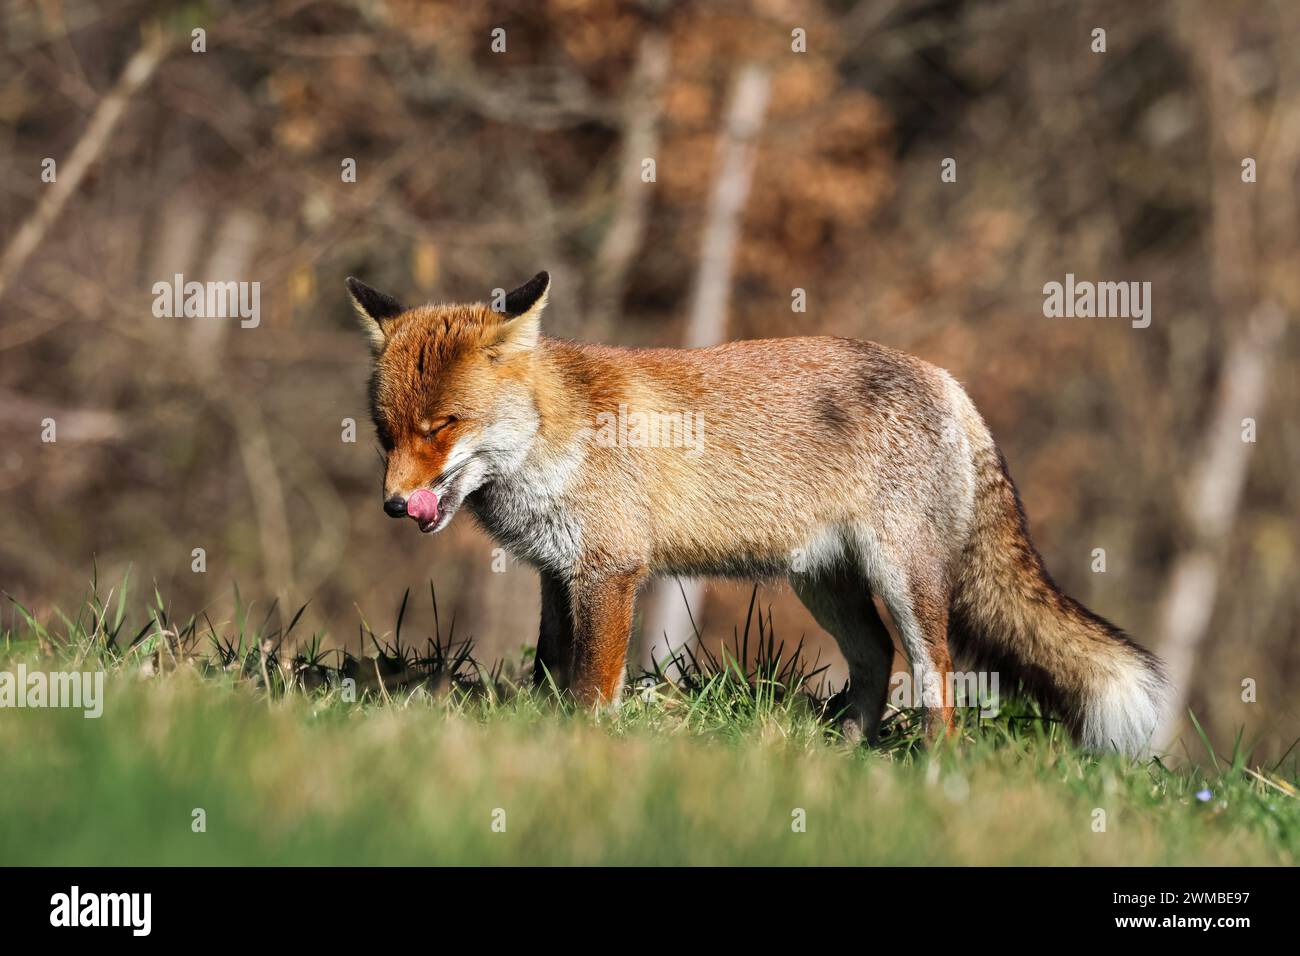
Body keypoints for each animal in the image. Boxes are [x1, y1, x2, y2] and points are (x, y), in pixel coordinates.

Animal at [348, 271, 1169, 754]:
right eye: (387, 433)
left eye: (444, 425)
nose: (393, 504)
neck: (556, 433)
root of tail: (947, 380)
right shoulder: (559, 573)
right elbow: (552, 670)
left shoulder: (611, 572)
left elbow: (590, 689)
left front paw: (583, 750)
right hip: (824, 584)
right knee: (877, 660)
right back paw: (845, 757)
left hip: (901, 581)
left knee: (934, 679)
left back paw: (934, 774)